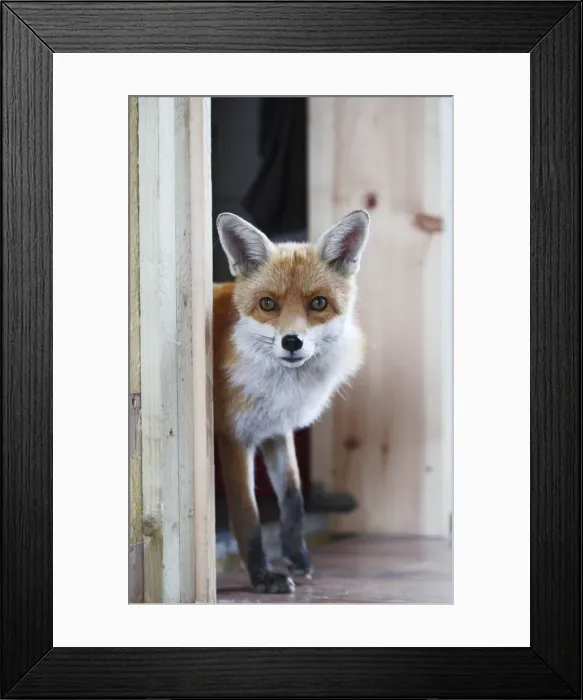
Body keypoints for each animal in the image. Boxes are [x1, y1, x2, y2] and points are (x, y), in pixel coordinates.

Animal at [213, 209, 370, 593]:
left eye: (319, 303)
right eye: (268, 304)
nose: (291, 342)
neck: (280, 390)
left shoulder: (275, 430)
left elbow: (293, 498)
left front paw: (296, 556)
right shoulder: (234, 436)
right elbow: (247, 513)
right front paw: (262, 576)